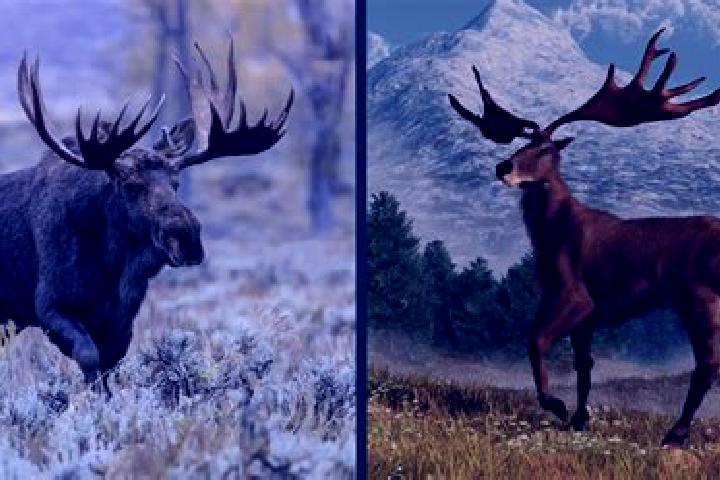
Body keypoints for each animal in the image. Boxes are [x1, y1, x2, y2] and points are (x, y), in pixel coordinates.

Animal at [0, 39, 292, 393]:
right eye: (130, 184)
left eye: (176, 183)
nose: (187, 237)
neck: (114, 266)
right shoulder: (50, 306)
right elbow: (89, 358)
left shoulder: (121, 321)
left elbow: (109, 368)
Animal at [448, 29, 720, 446]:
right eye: (519, 145)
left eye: (546, 149)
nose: (503, 167)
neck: (552, 231)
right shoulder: (584, 314)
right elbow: (584, 366)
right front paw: (579, 419)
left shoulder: (574, 294)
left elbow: (535, 340)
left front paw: (556, 406)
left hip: (700, 296)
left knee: (707, 365)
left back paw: (675, 433)